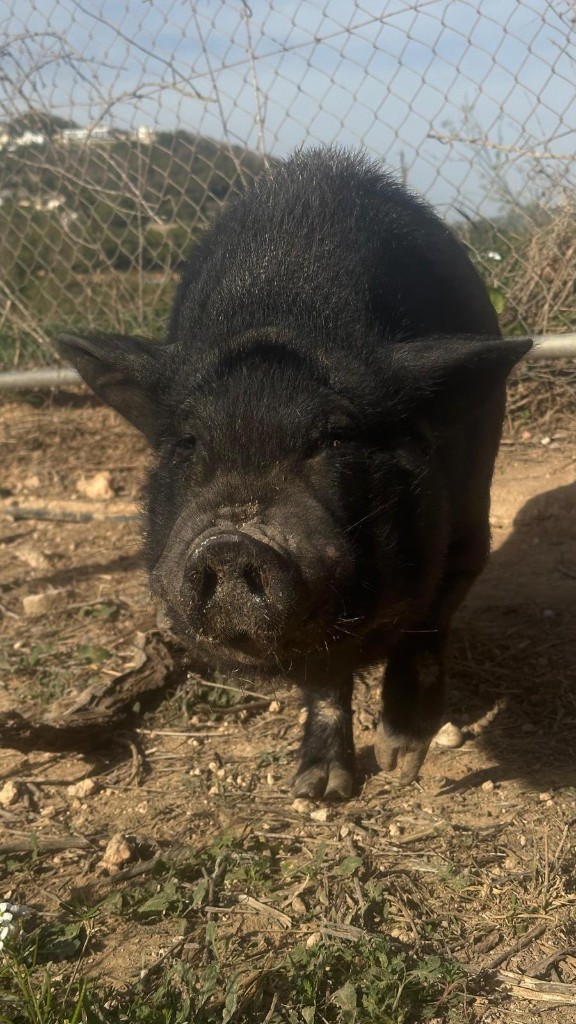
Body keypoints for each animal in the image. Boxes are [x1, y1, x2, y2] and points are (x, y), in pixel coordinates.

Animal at [58, 148, 531, 800]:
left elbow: (428, 625)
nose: (231, 542)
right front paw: (317, 790)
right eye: (189, 441)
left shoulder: (466, 534)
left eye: (335, 438)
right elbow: (324, 681)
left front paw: (399, 763)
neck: (288, 310)